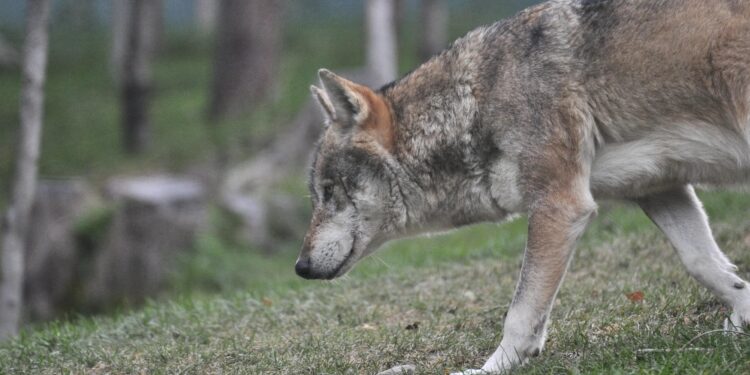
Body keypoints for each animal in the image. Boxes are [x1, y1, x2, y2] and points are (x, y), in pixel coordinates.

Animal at [296, 0, 748, 374]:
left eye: (330, 191)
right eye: (318, 194)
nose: (299, 267)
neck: (475, 102)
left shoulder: (560, 206)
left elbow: (520, 313)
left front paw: (487, 370)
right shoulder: (656, 187)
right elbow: (705, 264)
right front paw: (743, 317)